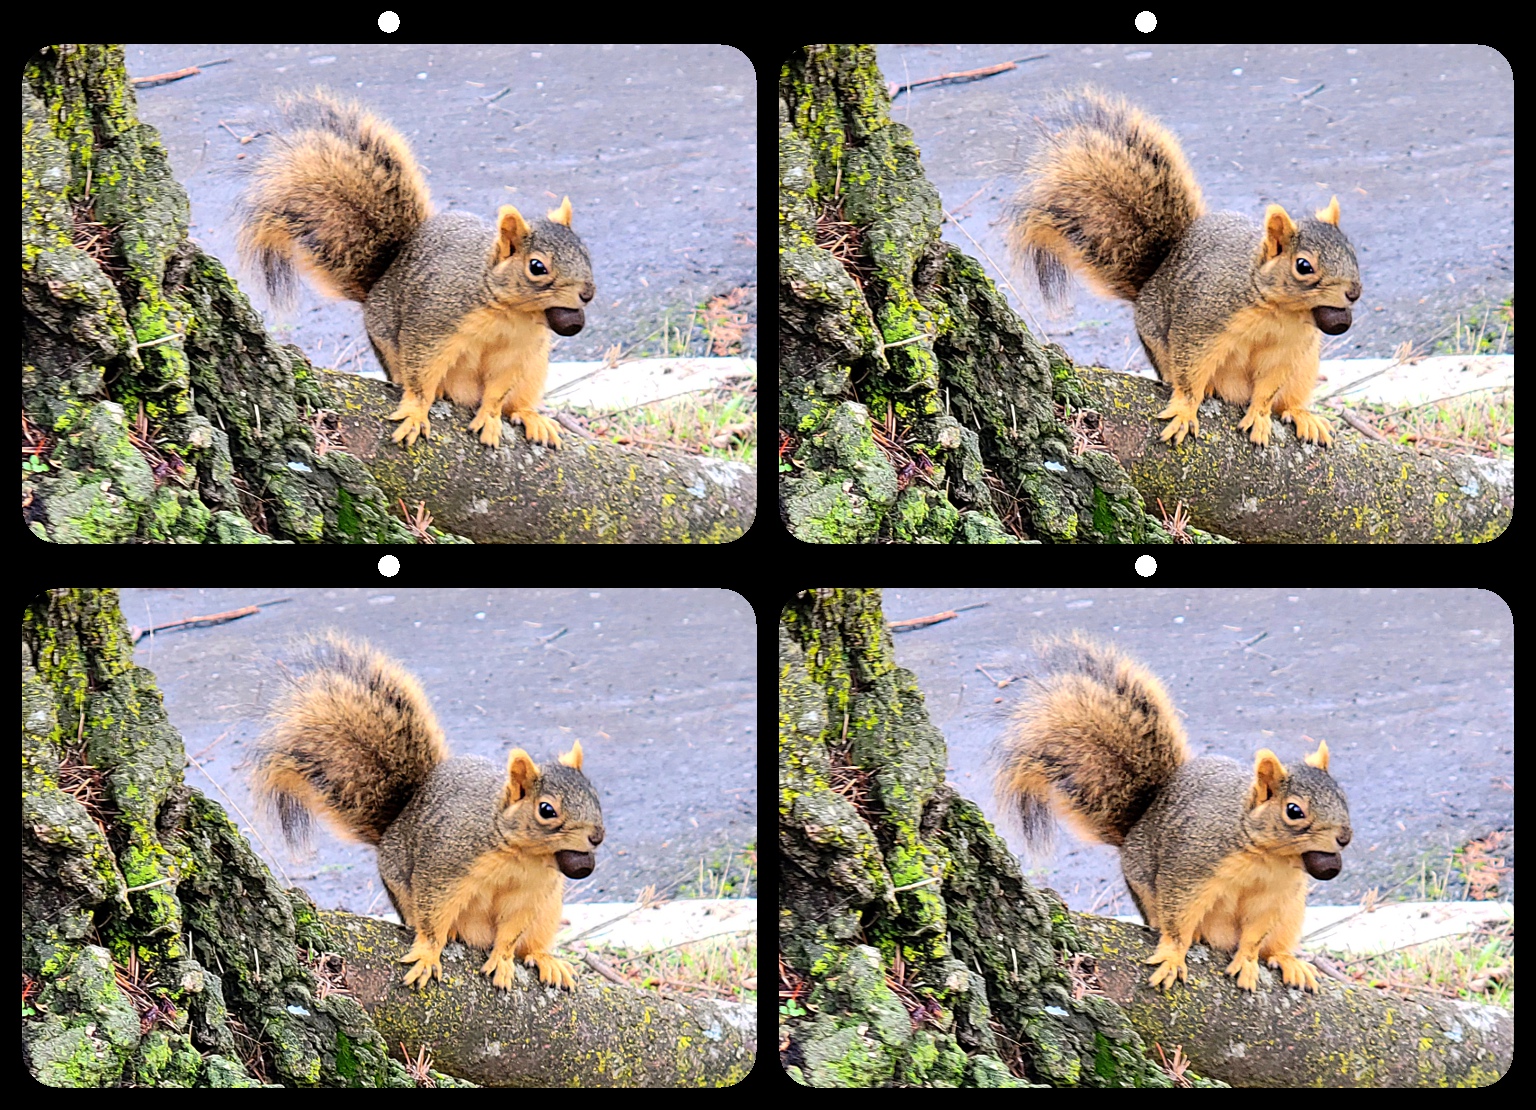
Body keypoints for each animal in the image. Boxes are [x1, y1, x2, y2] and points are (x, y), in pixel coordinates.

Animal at [239, 89, 592, 448]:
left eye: (584, 251)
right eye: (537, 267)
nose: (588, 294)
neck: (509, 314)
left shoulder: (517, 352)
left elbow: (497, 392)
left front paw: (491, 418)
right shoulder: (434, 321)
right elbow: (421, 373)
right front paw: (415, 413)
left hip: (535, 367)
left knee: (517, 401)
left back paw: (532, 417)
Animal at [253, 632, 605, 988]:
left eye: (595, 795)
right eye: (546, 810)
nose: (597, 837)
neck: (521, 857)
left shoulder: (531, 894)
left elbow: (510, 934)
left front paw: (503, 960)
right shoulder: (445, 865)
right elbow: (433, 913)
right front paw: (427, 954)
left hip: (549, 910)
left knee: (532, 943)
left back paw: (546, 959)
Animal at [989, 638, 1351, 994]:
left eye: (1343, 796)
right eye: (1294, 811)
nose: (1344, 838)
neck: (1267, 858)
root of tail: (1142, 820)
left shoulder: (1275, 896)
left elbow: (1255, 935)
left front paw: (1247, 961)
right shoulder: (1191, 865)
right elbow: (1178, 915)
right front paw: (1174, 956)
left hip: (1292, 912)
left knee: (1275, 945)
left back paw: (1289, 961)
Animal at [1007, 89, 1357, 448]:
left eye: (1351, 250)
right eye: (1303, 266)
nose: (1354, 293)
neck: (1278, 312)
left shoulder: (1288, 350)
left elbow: (1268, 389)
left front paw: (1259, 415)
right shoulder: (1203, 319)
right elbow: (1190, 370)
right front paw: (1185, 410)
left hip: (1306, 366)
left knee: (1288, 400)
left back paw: (1303, 415)